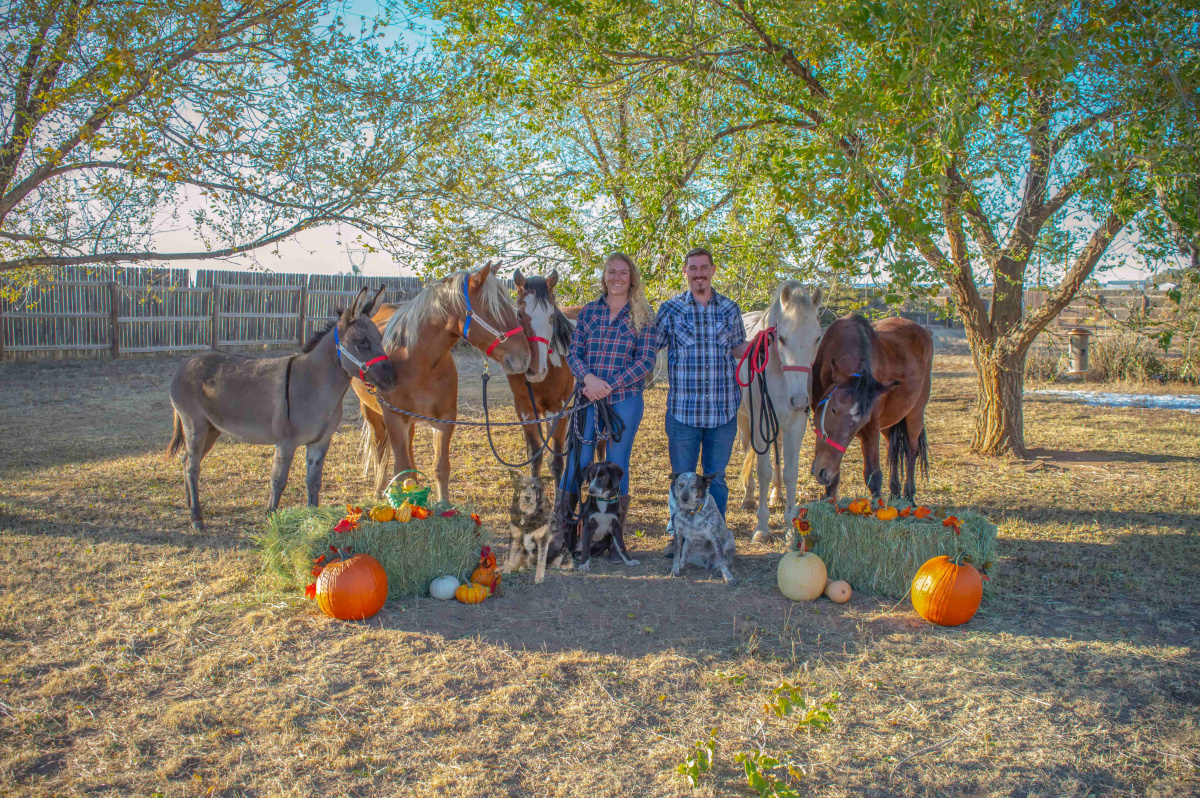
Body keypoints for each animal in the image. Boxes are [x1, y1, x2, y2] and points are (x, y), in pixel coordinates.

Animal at [169, 286, 396, 528]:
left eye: (380, 338)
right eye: (362, 342)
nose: (393, 378)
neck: (314, 384)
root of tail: (186, 362)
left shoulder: (320, 443)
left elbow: (313, 482)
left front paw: (313, 519)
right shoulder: (285, 443)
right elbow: (278, 481)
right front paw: (272, 519)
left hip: (212, 429)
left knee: (186, 460)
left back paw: (190, 504)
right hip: (195, 424)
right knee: (193, 466)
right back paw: (196, 518)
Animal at [350, 264, 530, 501]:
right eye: (493, 311)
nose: (524, 357)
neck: (417, 362)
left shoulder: (445, 418)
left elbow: (440, 467)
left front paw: (443, 503)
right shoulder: (394, 418)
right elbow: (400, 468)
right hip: (371, 412)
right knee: (381, 452)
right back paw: (380, 491)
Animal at [511, 267, 576, 480]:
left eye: (551, 316)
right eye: (519, 314)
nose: (535, 369)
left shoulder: (557, 411)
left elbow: (556, 462)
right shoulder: (525, 411)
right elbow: (535, 455)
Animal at [729, 283, 825, 544]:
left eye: (817, 338)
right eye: (781, 338)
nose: (799, 400)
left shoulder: (795, 424)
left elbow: (790, 471)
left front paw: (791, 526)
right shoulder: (760, 422)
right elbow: (763, 470)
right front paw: (762, 526)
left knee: (778, 452)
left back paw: (777, 494)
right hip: (745, 421)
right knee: (747, 452)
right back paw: (749, 497)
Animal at [811, 314, 931, 501]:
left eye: (862, 422)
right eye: (833, 410)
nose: (824, 473)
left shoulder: (872, 427)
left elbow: (873, 475)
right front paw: (830, 497)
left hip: (915, 414)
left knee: (911, 450)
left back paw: (909, 495)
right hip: (889, 423)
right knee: (892, 449)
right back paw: (895, 492)